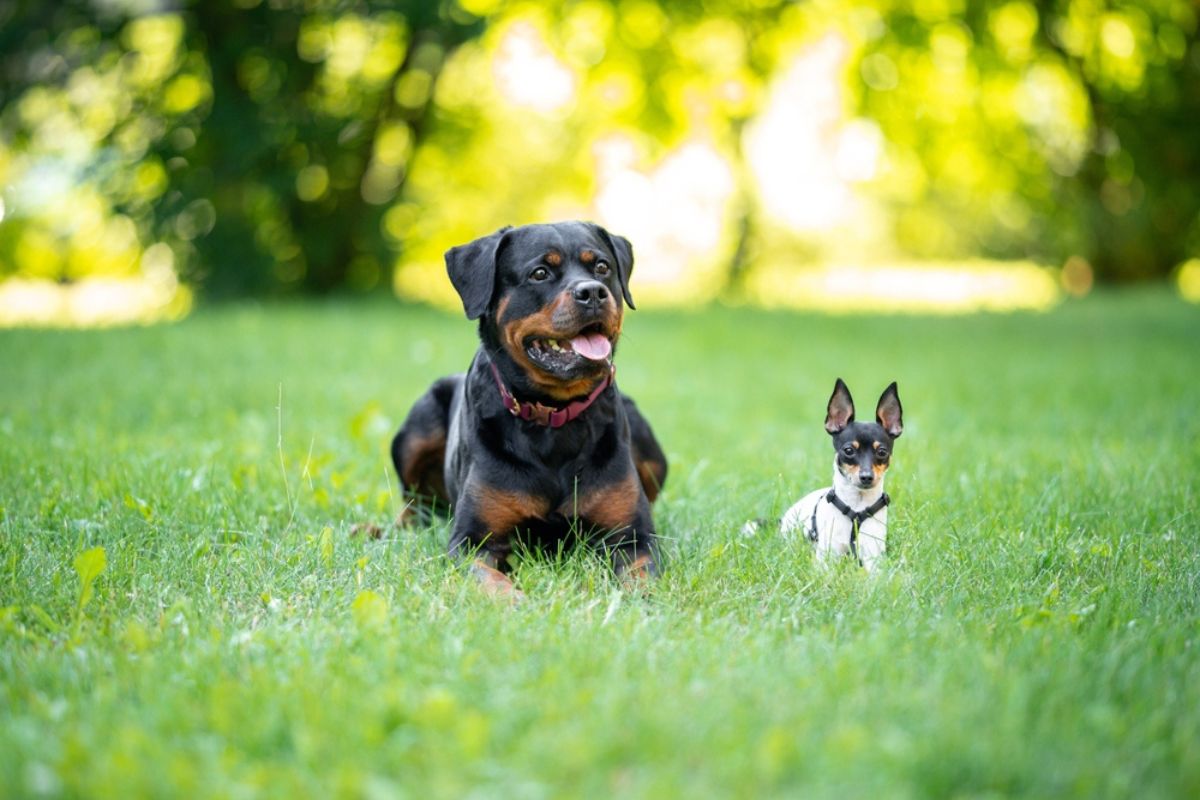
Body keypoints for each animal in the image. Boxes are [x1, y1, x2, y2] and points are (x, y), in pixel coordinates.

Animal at [391, 221, 667, 597]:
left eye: (602, 267)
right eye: (540, 273)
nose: (593, 292)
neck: (553, 415)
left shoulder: (632, 537)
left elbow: (640, 576)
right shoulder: (472, 541)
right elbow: (492, 582)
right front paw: (515, 602)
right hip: (417, 426)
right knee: (412, 503)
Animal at [748, 381, 902, 573]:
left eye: (882, 452)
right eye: (848, 450)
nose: (867, 477)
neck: (857, 508)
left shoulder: (873, 556)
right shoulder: (827, 557)